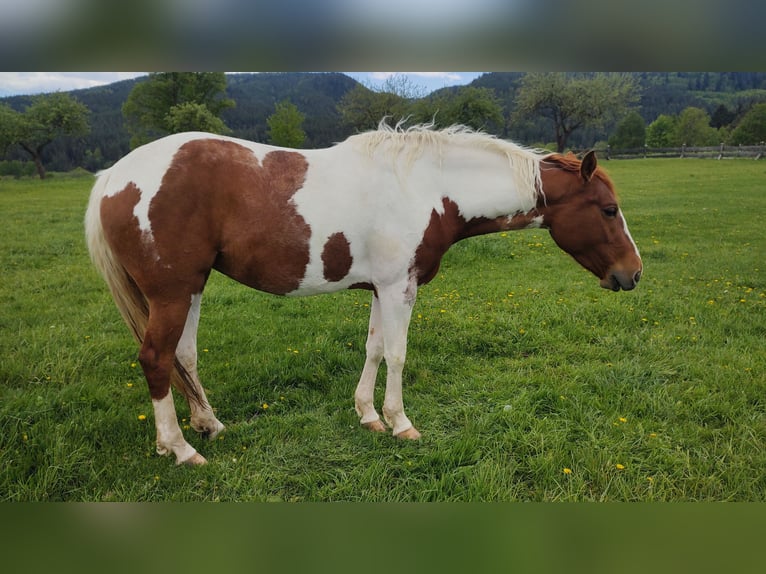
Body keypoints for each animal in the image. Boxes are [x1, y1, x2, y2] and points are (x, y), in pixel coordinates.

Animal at [85, 123, 642, 465]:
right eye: (609, 209)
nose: (633, 274)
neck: (430, 188)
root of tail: (115, 175)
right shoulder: (400, 287)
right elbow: (396, 354)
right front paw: (401, 423)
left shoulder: (382, 287)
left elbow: (374, 348)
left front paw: (369, 416)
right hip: (172, 294)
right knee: (157, 359)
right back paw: (180, 449)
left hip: (191, 290)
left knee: (184, 356)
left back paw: (209, 425)